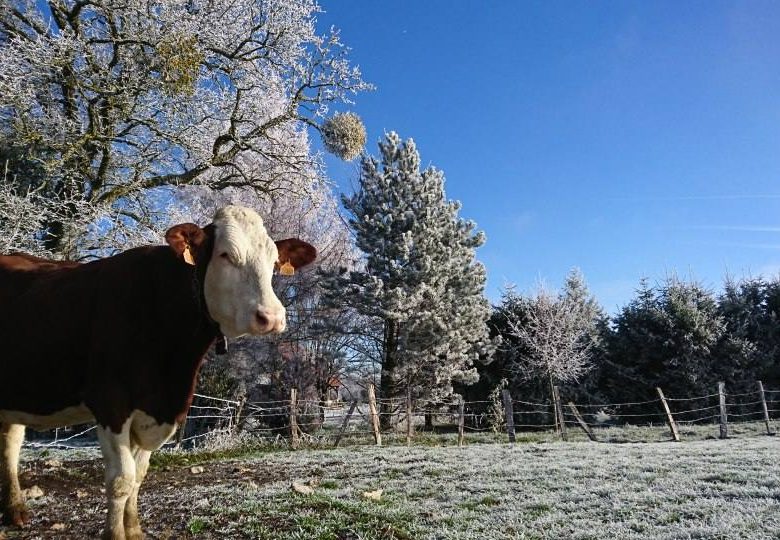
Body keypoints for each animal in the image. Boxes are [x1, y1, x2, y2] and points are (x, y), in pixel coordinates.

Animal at [0, 205, 316, 536]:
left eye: (274, 262)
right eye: (225, 255)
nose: (272, 316)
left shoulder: (156, 407)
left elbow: (139, 475)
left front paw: (134, 530)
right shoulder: (111, 403)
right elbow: (121, 480)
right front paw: (116, 533)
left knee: (10, 441)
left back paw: (15, 510)